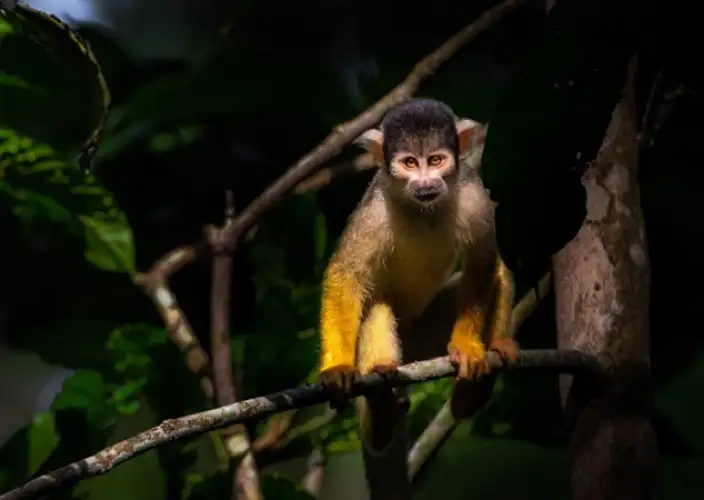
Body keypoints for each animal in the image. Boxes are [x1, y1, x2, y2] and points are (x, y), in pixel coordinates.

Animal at [317, 98, 517, 499]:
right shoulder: (374, 209)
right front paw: (337, 369)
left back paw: (474, 390)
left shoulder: (474, 194)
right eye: (410, 163)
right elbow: (346, 277)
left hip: (427, 338)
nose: (425, 182)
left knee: (500, 272)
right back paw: (381, 408)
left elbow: (484, 262)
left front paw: (468, 348)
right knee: (376, 307)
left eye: (435, 160)